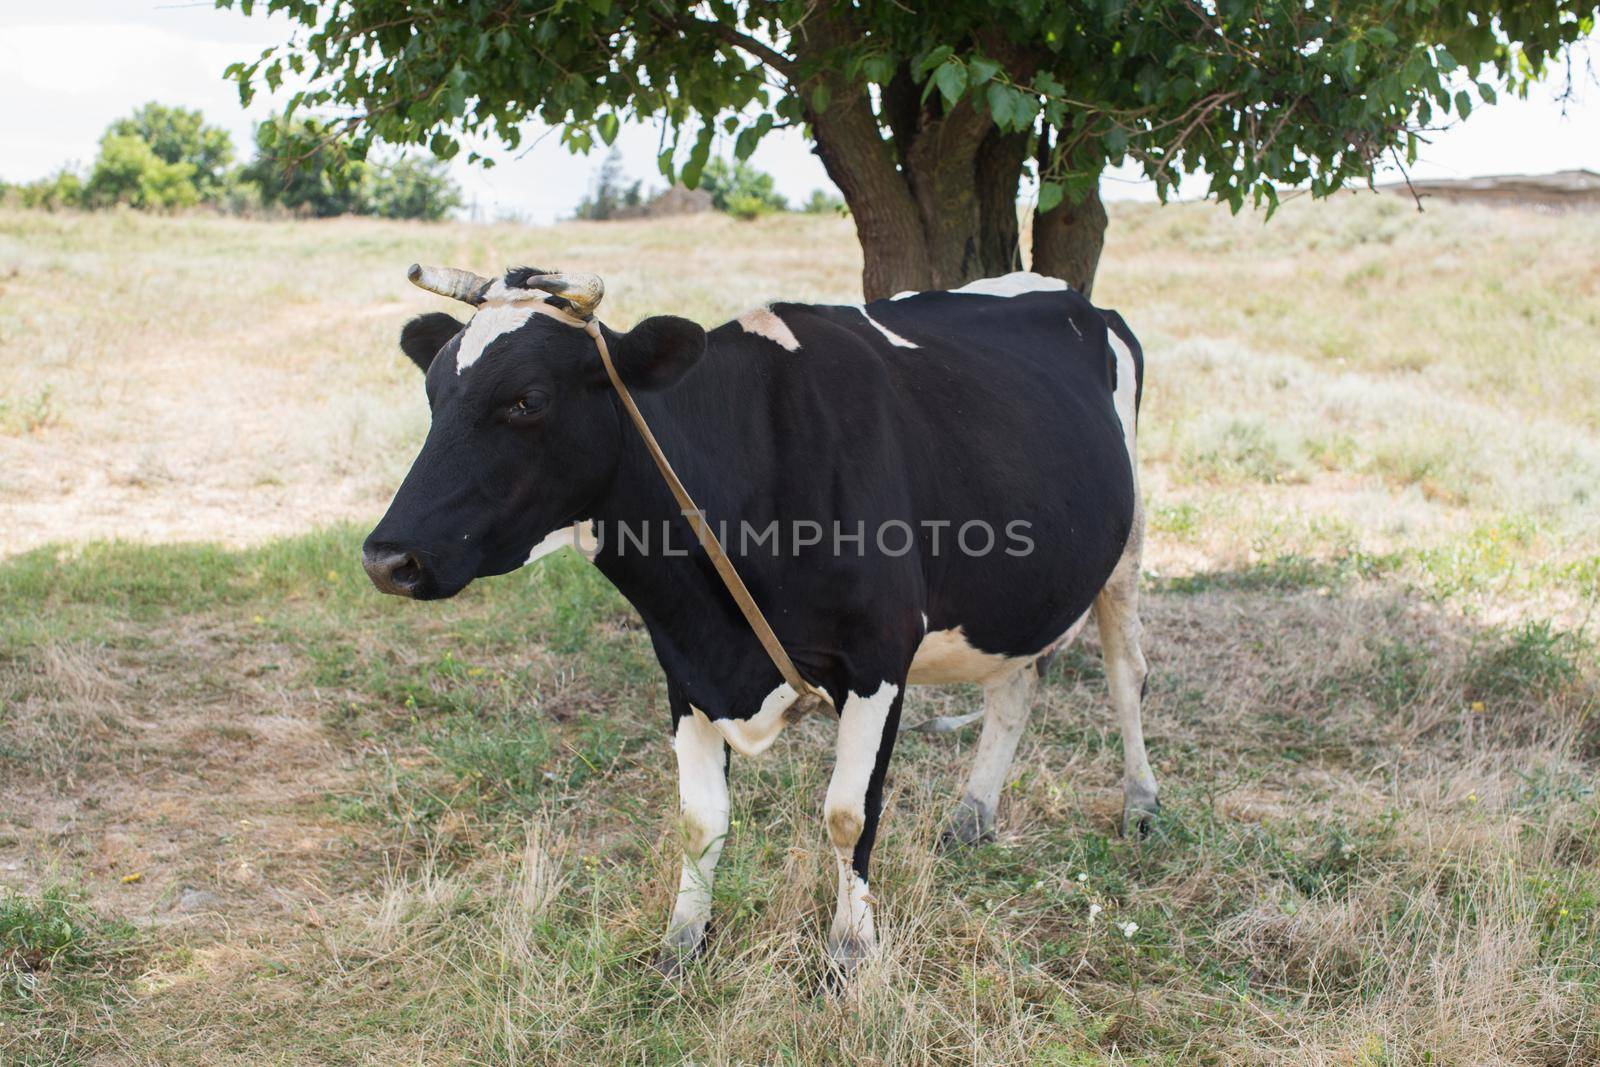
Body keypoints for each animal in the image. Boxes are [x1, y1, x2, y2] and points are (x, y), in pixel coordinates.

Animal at [361, 265, 1152, 979]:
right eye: (433, 394)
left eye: (527, 399)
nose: (386, 557)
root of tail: (1069, 292)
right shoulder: (685, 663)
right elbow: (699, 819)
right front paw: (682, 944)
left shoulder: (878, 655)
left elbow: (848, 813)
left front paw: (851, 951)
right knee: (1014, 687)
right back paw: (975, 812)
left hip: (1126, 545)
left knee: (1127, 674)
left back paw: (1141, 804)